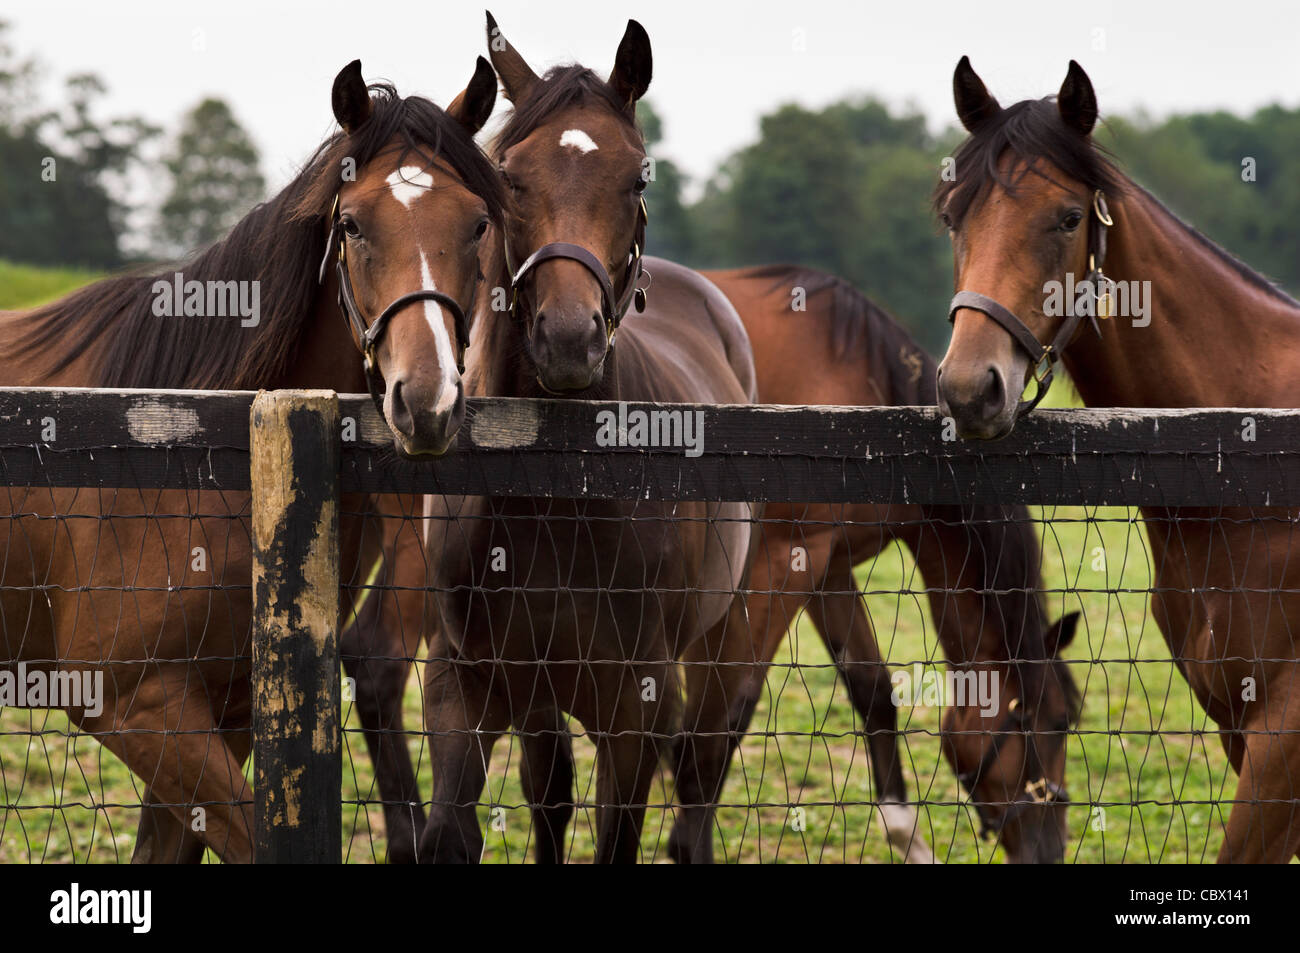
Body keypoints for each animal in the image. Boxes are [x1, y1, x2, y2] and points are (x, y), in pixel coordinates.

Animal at [413, 14, 755, 864]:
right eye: (508, 179)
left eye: (637, 180)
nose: (568, 338)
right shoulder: (465, 681)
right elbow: (457, 827)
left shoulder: (636, 704)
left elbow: (616, 832)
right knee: (548, 794)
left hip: (724, 638)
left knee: (703, 765)